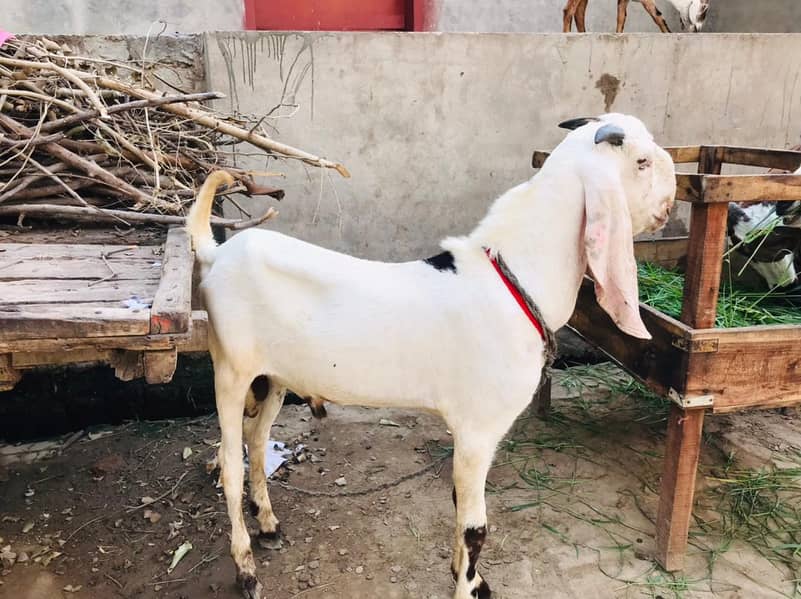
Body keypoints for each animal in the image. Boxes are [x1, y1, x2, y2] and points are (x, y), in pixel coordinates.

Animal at [186, 113, 676, 599]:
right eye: (642, 161)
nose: (671, 200)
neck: (513, 280)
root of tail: (216, 253)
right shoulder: (480, 428)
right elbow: (476, 526)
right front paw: (466, 587)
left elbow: (460, 508)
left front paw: (472, 578)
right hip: (230, 370)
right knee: (229, 464)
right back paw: (247, 571)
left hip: (274, 377)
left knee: (255, 440)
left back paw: (268, 523)